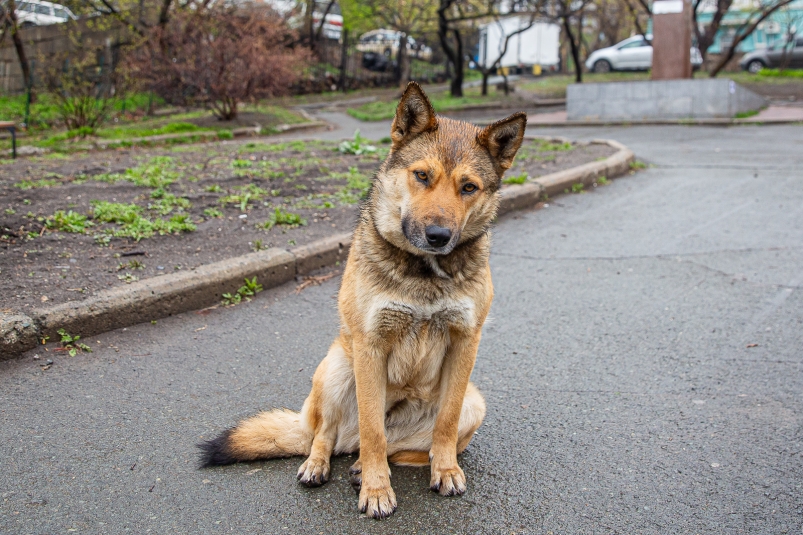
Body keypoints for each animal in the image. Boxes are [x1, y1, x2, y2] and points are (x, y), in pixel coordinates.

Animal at [201, 82, 528, 520]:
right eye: (422, 176)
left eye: (469, 187)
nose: (438, 236)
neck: (423, 272)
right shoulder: (370, 346)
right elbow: (374, 429)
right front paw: (376, 491)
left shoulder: (465, 344)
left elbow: (443, 423)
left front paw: (444, 470)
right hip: (338, 366)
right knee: (327, 435)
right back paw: (321, 464)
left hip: (474, 403)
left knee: (399, 447)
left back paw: (370, 465)